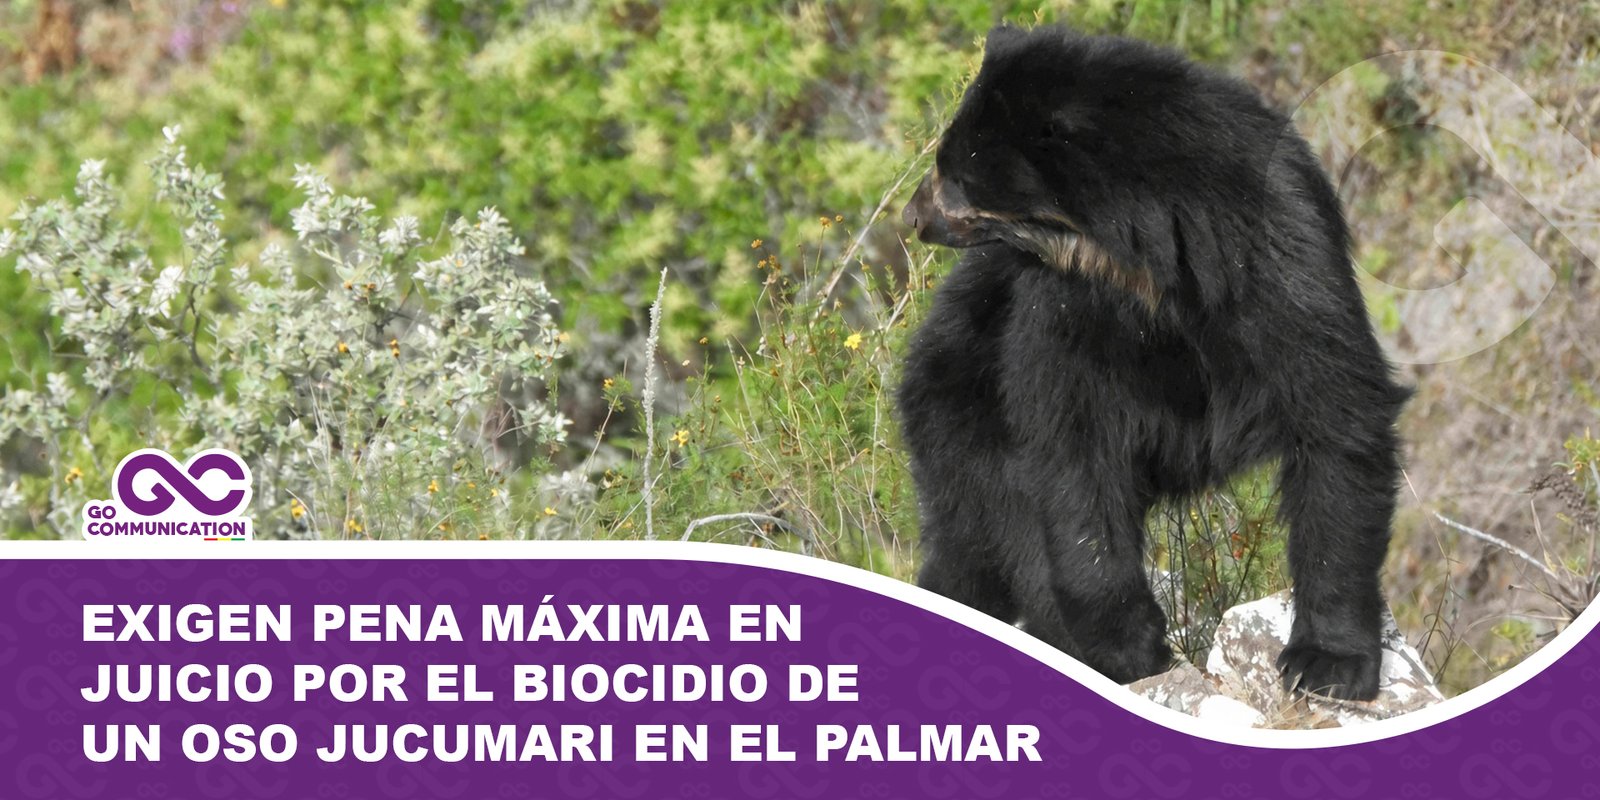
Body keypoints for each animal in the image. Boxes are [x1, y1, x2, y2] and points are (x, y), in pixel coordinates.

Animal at [896, 25, 1409, 701]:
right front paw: (1132, 648)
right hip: (961, 416)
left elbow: (1336, 415)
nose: (912, 216)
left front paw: (1327, 663)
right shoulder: (1063, 309)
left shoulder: (1282, 253)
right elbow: (1071, 451)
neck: (1148, 266)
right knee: (994, 538)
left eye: (955, 175)